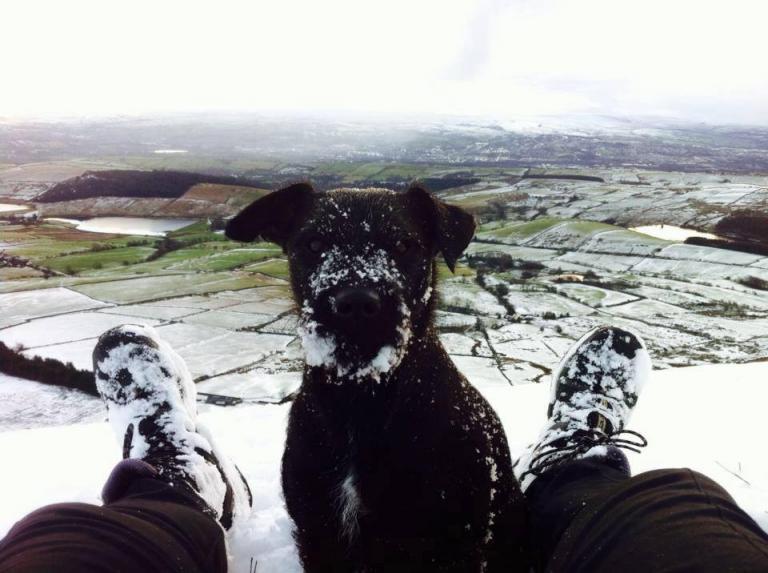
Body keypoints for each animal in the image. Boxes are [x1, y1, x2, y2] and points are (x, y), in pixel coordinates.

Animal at [228, 184, 528, 572]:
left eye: (403, 244)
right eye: (313, 243)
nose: (355, 303)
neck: (363, 397)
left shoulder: (454, 540)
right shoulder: (318, 531)